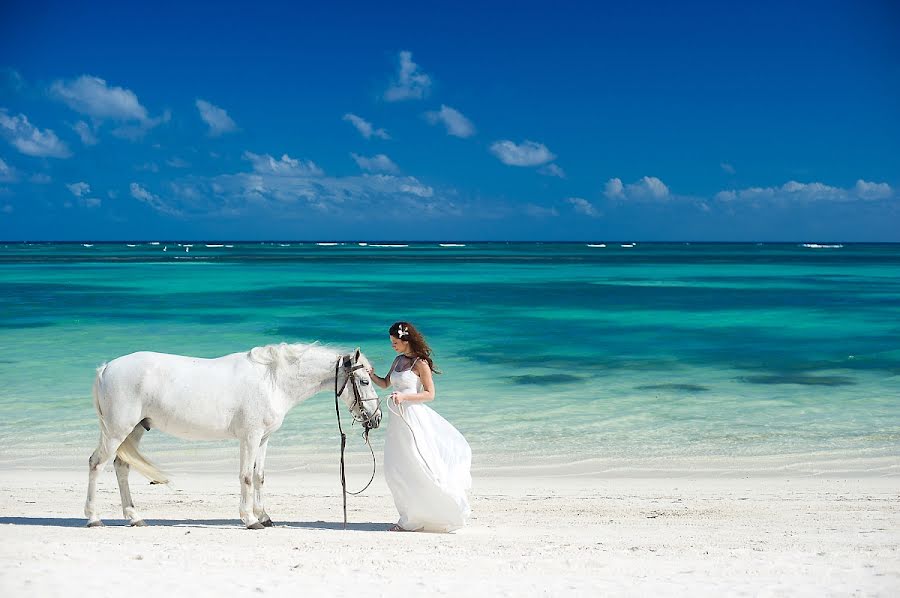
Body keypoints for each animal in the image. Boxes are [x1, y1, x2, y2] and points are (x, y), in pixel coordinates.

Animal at [84, 342, 380, 528]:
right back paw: (94, 518)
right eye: (364, 381)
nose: (375, 419)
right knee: (96, 464)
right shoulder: (250, 437)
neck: (272, 380)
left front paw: (264, 516)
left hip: (134, 430)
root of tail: (106, 368)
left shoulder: (263, 439)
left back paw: (134, 517)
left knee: (121, 467)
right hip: (116, 431)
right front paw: (250, 520)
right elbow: (246, 476)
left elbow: (259, 477)